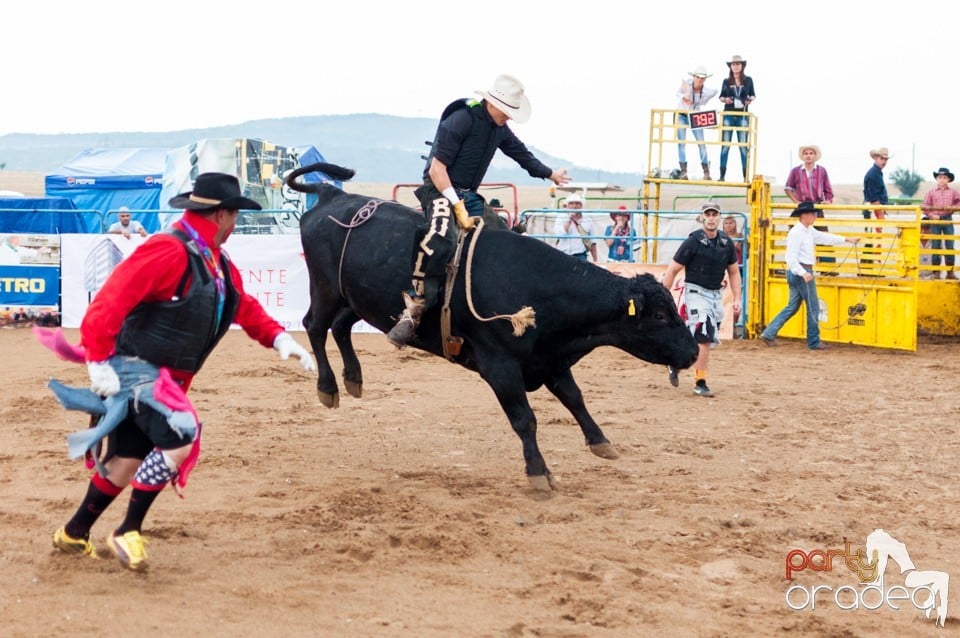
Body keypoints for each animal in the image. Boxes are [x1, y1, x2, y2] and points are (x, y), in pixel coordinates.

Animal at [286, 164, 696, 490]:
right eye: (660, 316)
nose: (692, 352)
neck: (537, 288)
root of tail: (333, 195)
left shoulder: (550, 358)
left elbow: (574, 398)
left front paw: (601, 442)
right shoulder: (500, 366)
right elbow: (525, 419)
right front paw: (538, 473)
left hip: (359, 299)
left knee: (341, 328)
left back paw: (354, 378)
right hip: (325, 289)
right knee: (315, 327)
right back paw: (329, 387)